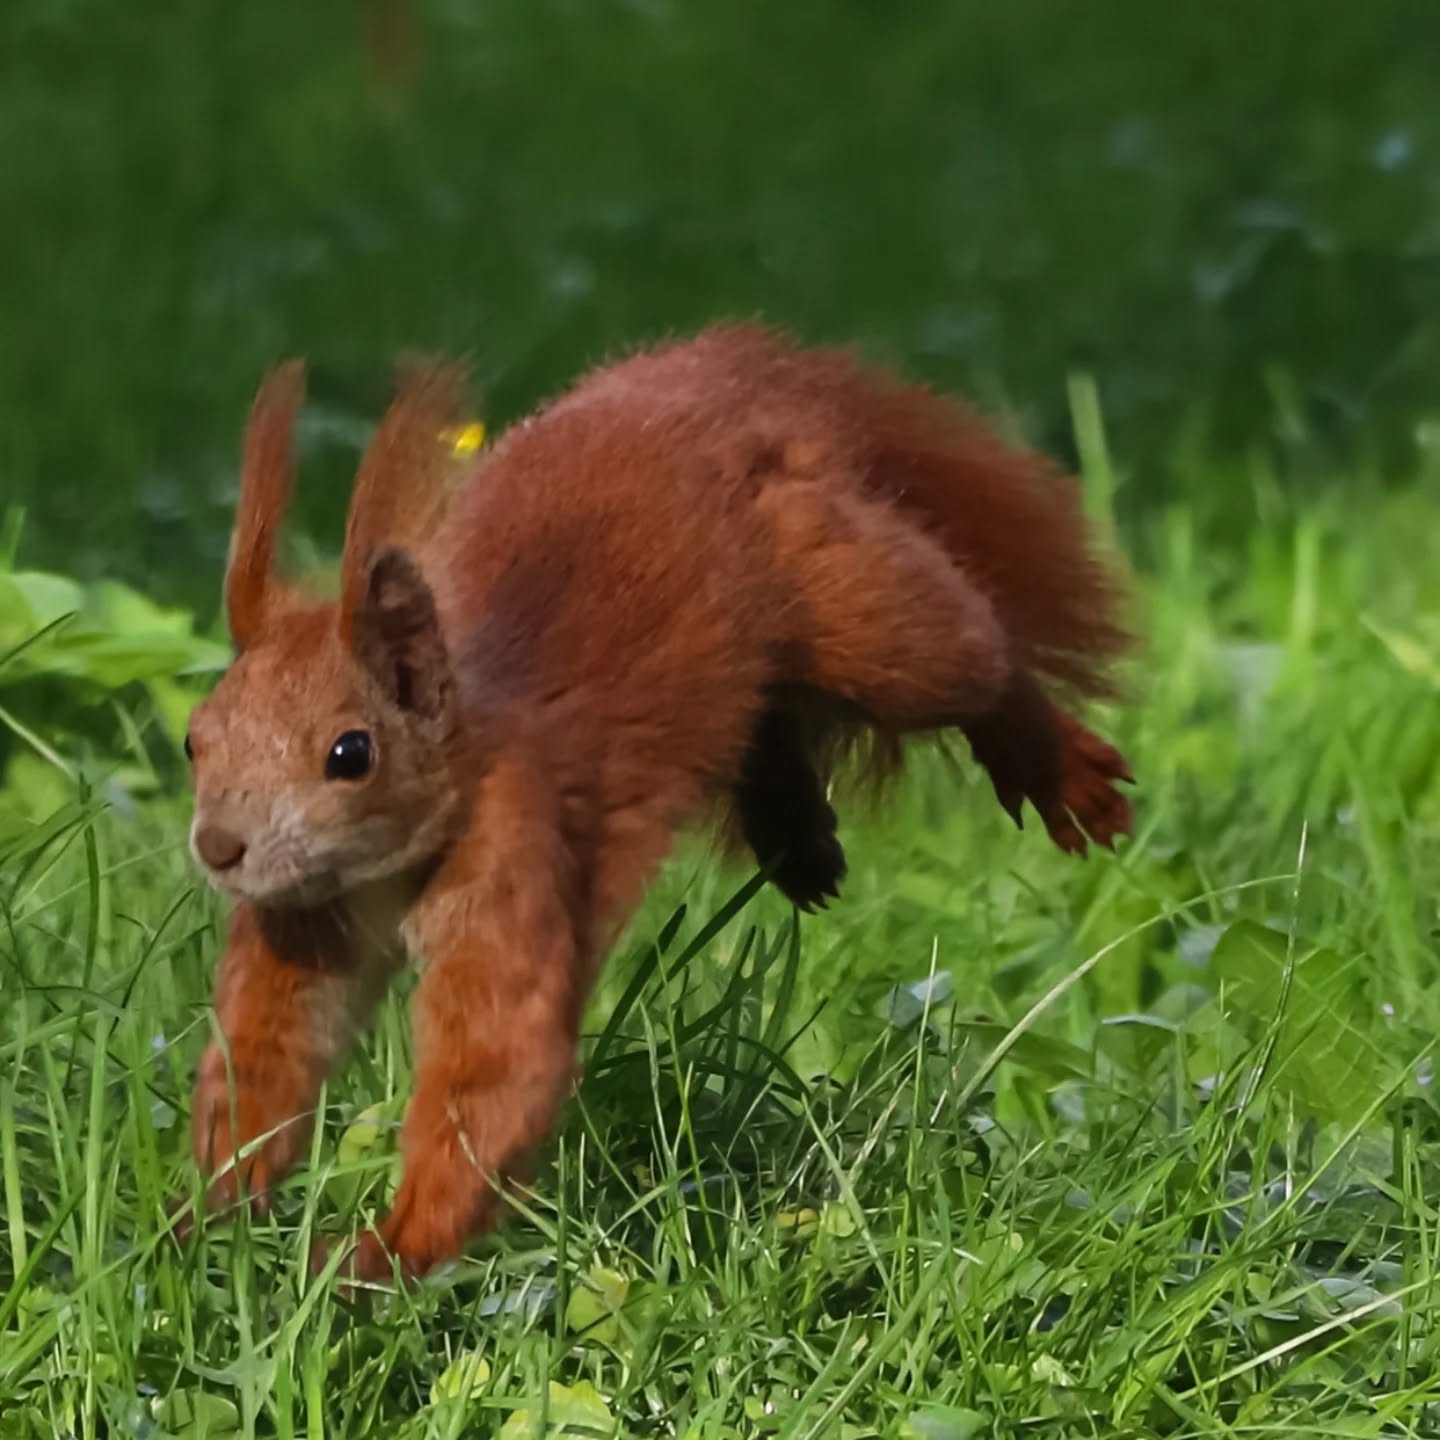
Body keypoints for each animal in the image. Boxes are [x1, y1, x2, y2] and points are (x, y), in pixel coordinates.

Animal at [180, 323, 1135, 1282]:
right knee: (767, 712)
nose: (220, 847)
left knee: (973, 660)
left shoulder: (515, 847)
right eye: (195, 738)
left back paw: (1058, 770)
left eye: (351, 754)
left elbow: (495, 1069)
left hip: (859, 603)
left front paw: (382, 1256)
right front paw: (204, 1221)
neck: (390, 865)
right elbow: (264, 1056)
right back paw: (796, 839)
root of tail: (718, 376)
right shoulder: (303, 917)